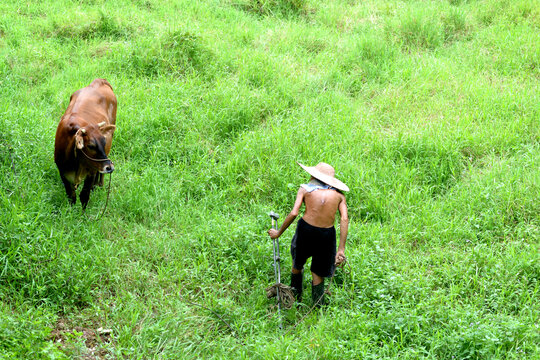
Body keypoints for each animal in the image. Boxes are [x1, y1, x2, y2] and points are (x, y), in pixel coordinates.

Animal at [54, 78, 116, 208]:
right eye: (90, 146)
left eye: (104, 142)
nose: (109, 167)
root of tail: (99, 81)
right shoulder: (63, 172)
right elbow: (71, 196)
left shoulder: (91, 172)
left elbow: (84, 196)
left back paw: (99, 185)